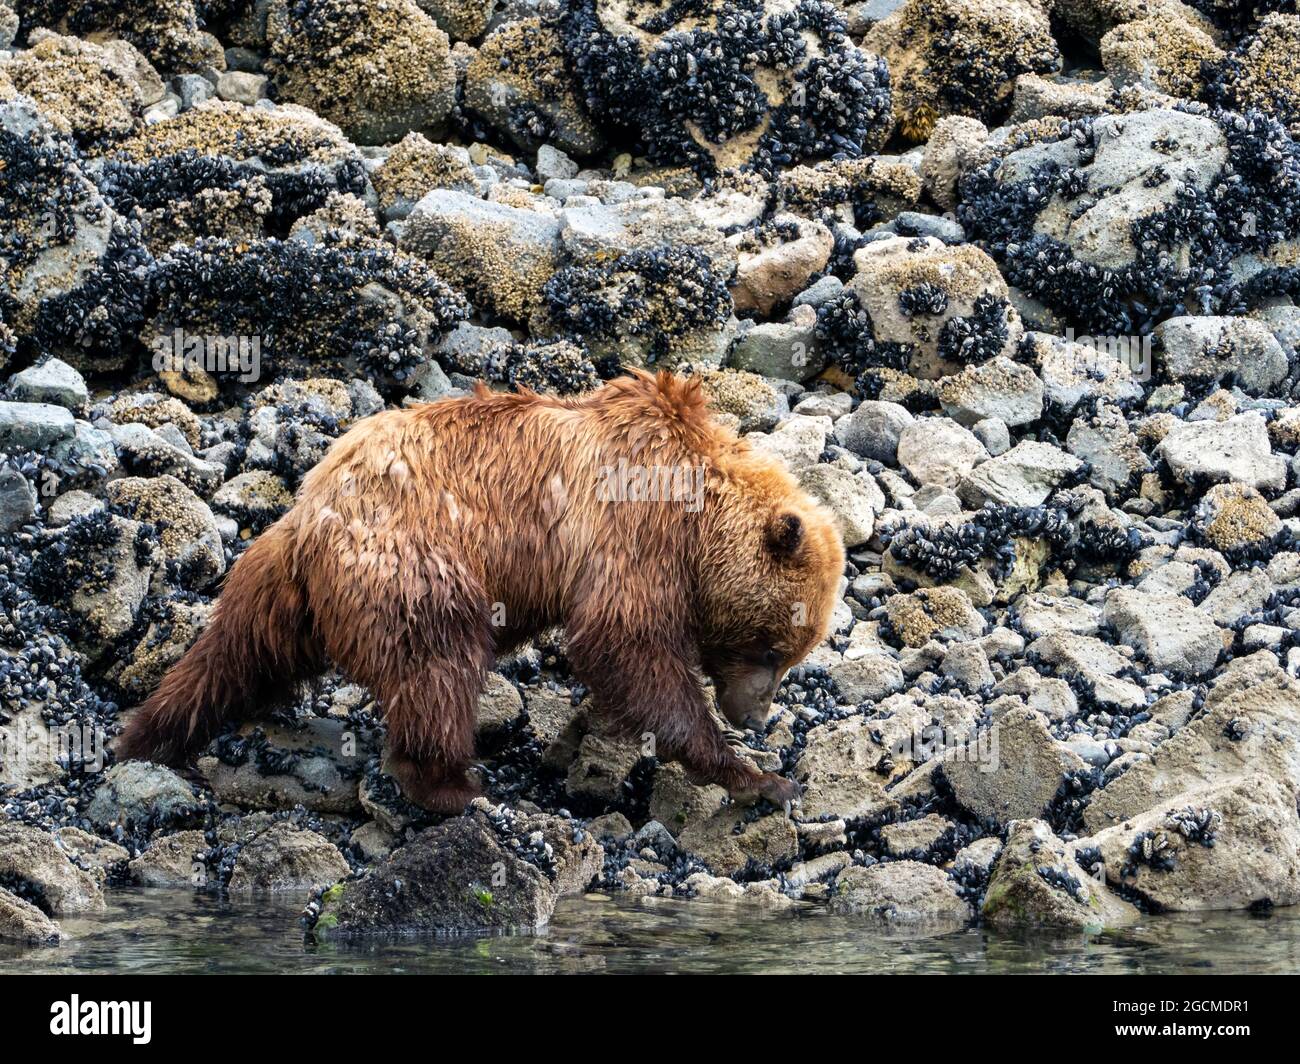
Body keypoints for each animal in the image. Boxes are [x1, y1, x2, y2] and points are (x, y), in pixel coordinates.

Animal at [116, 369, 847, 806]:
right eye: (772, 647)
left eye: (793, 653)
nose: (757, 714)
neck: (698, 514)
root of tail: (312, 510)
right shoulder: (633, 529)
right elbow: (626, 642)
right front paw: (756, 775)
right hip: (415, 565)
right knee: (436, 667)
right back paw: (454, 785)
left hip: (271, 585)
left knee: (233, 654)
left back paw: (148, 735)